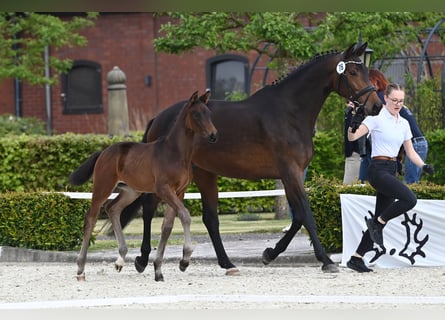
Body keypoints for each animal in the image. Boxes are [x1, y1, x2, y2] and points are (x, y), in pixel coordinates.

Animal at [67, 90, 217, 280]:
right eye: (196, 114)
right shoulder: (164, 189)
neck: (176, 153)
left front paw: (159, 270)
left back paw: (120, 259)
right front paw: (184, 260)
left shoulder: (179, 191)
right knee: (91, 218)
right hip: (103, 187)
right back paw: (80, 268)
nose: (213, 135)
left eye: (209, 114)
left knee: (112, 208)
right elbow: (185, 215)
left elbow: (167, 226)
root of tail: (104, 152)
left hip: (131, 191)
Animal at [119, 42, 382, 276]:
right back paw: (142, 259)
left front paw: (269, 253)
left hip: (201, 174)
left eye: (365, 70)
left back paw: (225, 263)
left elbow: (297, 217)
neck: (290, 112)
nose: (376, 105)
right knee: (150, 208)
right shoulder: (291, 172)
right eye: (353, 72)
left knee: (207, 218)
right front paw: (326, 260)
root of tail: (158, 118)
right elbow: (306, 214)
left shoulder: (289, 175)